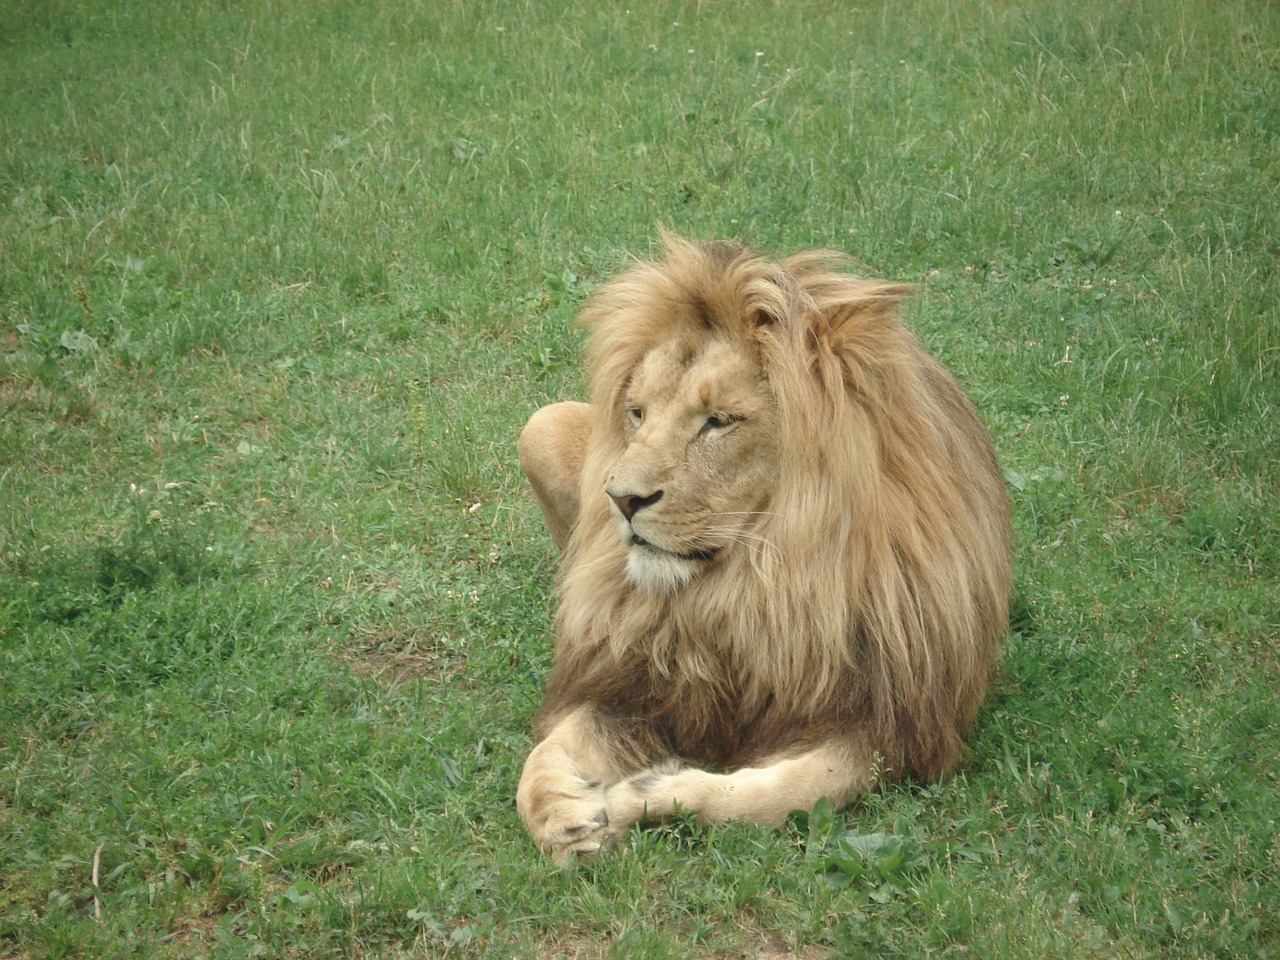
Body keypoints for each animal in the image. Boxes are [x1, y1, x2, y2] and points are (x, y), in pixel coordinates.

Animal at [512, 236, 1008, 870]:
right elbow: (545, 756)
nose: (620, 499)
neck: (760, 583)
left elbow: (781, 793)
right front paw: (564, 817)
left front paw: (646, 793)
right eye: (638, 413)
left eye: (718, 422)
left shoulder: (881, 722)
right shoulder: (634, 685)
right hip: (540, 425)